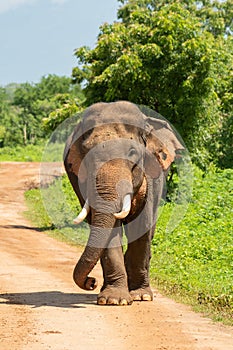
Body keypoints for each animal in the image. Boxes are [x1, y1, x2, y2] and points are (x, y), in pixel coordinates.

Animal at [63, 100, 184, 304]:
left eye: (132, 152)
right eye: (87, 154)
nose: (91, 282)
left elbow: (141, 225)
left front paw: (141, 296)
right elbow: (109, 228)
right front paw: (114, 300)